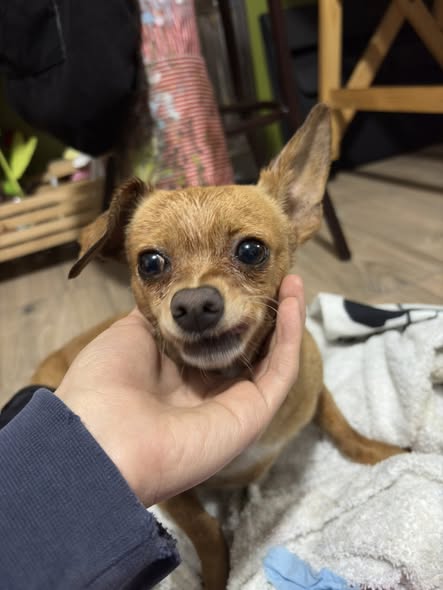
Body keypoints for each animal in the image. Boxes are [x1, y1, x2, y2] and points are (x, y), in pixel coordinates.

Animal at [33, 104, 403, 589]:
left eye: (251, 250)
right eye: (150, 263)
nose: (193, 305)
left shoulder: (315, 388)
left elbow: (343, 428)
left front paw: (384, 454)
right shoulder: (174, 498)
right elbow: (207, 529)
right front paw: (217, 575)